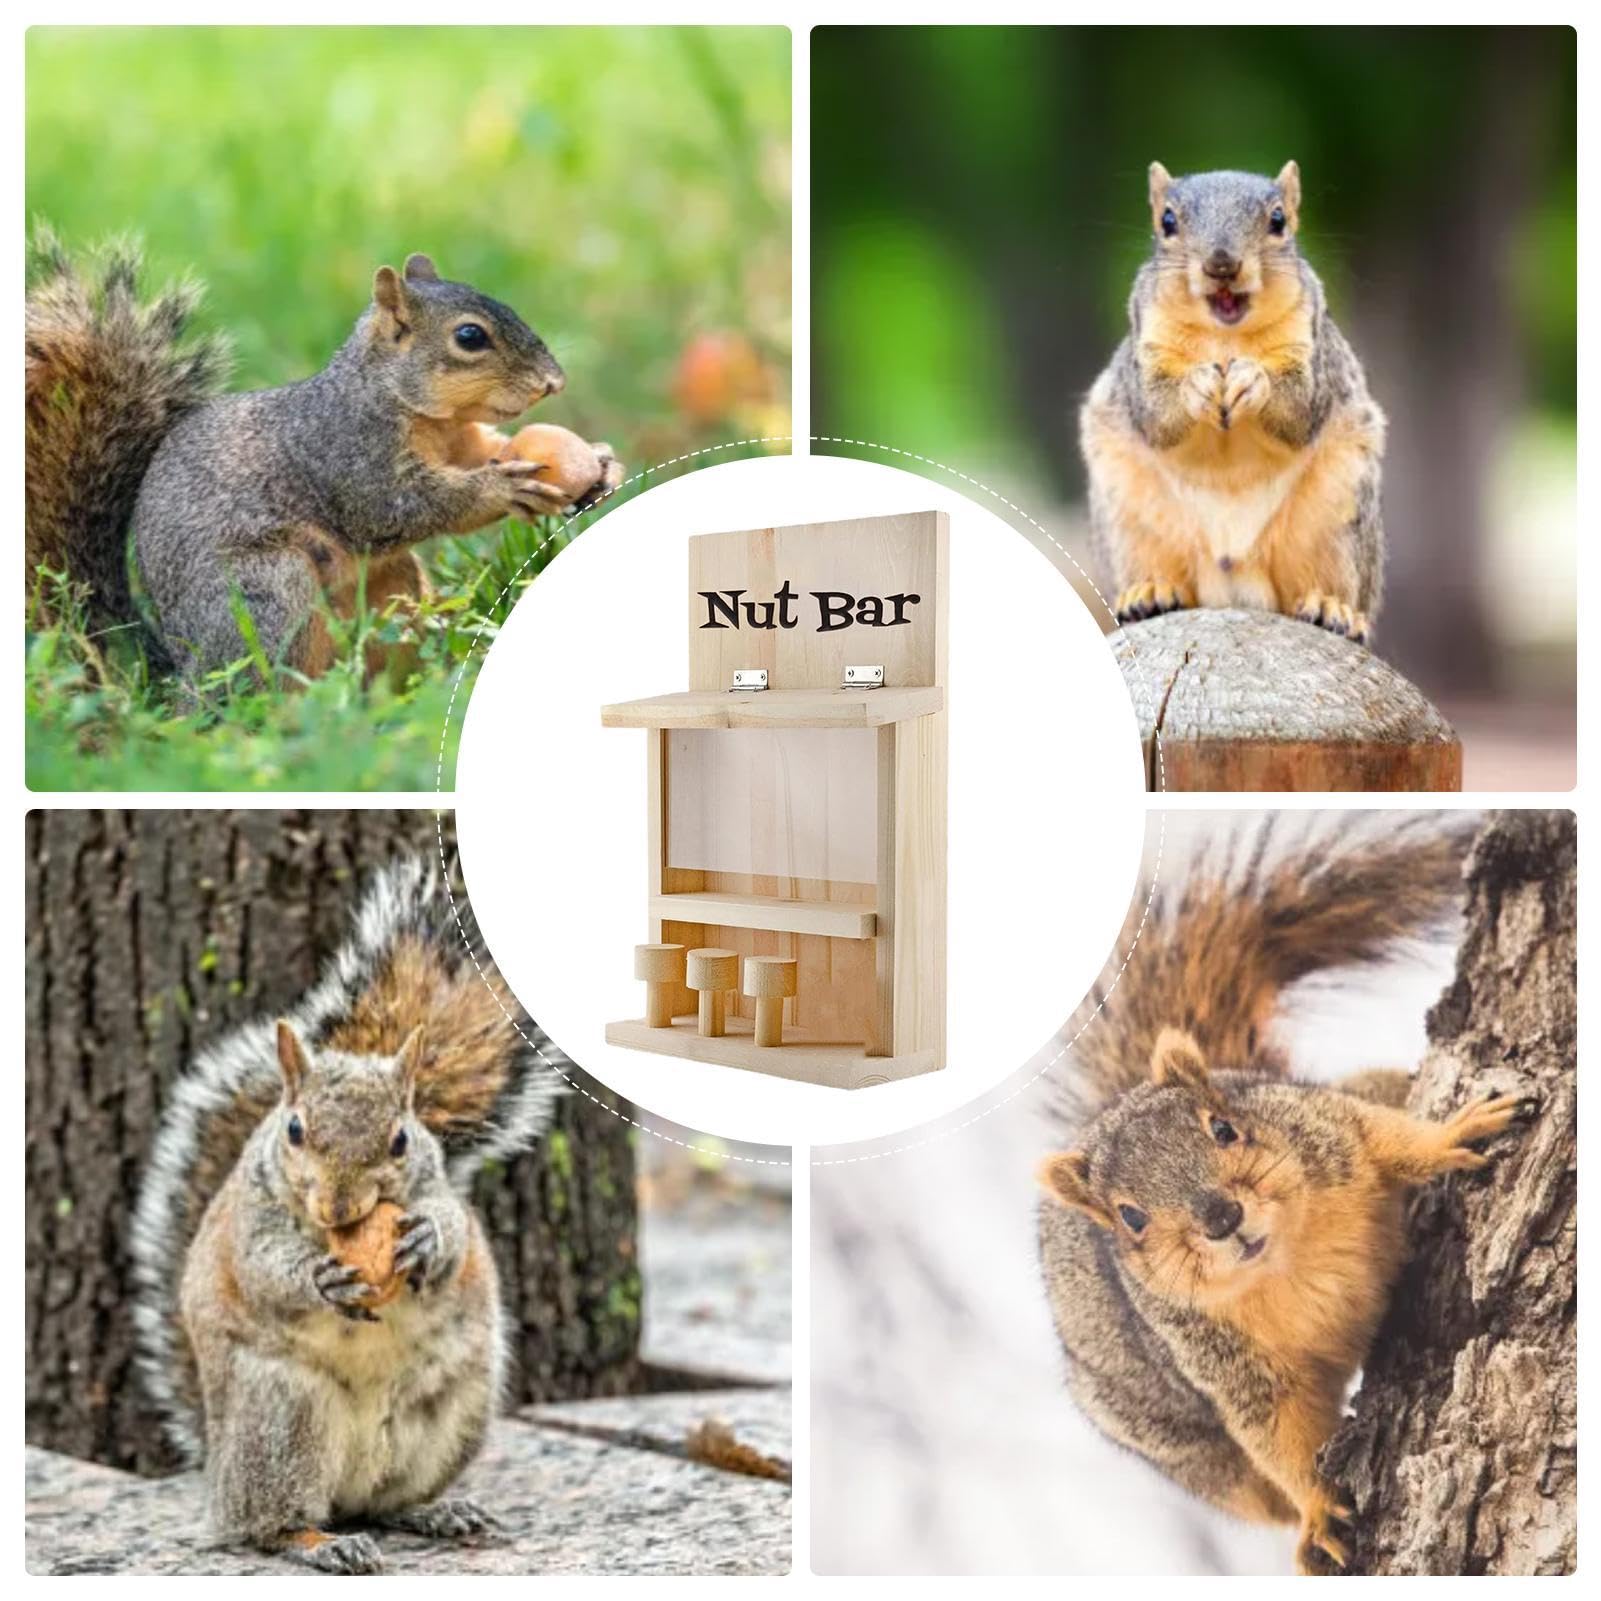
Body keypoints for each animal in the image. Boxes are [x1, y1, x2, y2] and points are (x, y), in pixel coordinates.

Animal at [25, 230, 623, 682]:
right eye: (470, 337)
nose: (553, 381)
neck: (416, 411)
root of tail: (176, 668)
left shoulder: (464, 441)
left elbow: (489, 452)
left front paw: (600, 462)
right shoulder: (347, 453)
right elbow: (399, 506)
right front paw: (503, 489)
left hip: (392, 590)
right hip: (266, 593)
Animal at [128, 858, 564, 1574]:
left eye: (401, 1140)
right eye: (295, 1131)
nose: (338, 1205)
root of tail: (218, 1475)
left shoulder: (439, 1188)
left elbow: (455, 1230)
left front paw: (425, 1242)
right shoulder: (251, 1222)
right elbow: (264, 1268)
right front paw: (318, 1279)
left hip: (452, 1413)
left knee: (385, 1503)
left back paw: (435, 1511)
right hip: (282, 1420)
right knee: (265, 1525)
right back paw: (318, 1543)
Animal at [1035, 819, 1527, 1574]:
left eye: (1224, 1126)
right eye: (1130, 1218)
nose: (1220, 1216)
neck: (1287, 1258)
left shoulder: (1325, 1129)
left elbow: (1388, 1136)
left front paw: (1452, 1132)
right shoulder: (1227, 1364)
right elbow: (1280, 1435)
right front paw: (1319, 1509)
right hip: (1184, 1448)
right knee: (1250, 1484)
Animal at [1080, 162, 1386, 643]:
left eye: (1278, 220)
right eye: (1167, 221)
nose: (1221, 264)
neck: (1225, 335)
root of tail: (1232, 573)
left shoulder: (1312, 347)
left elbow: (1301, 410)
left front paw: (1252, 380)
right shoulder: (1145, 350)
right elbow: (1155, 414)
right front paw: (1197, 386)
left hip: (1338, 516)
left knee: (1330, 580)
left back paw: (1330, 607)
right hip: (1129, 519)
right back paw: (1149, 592)